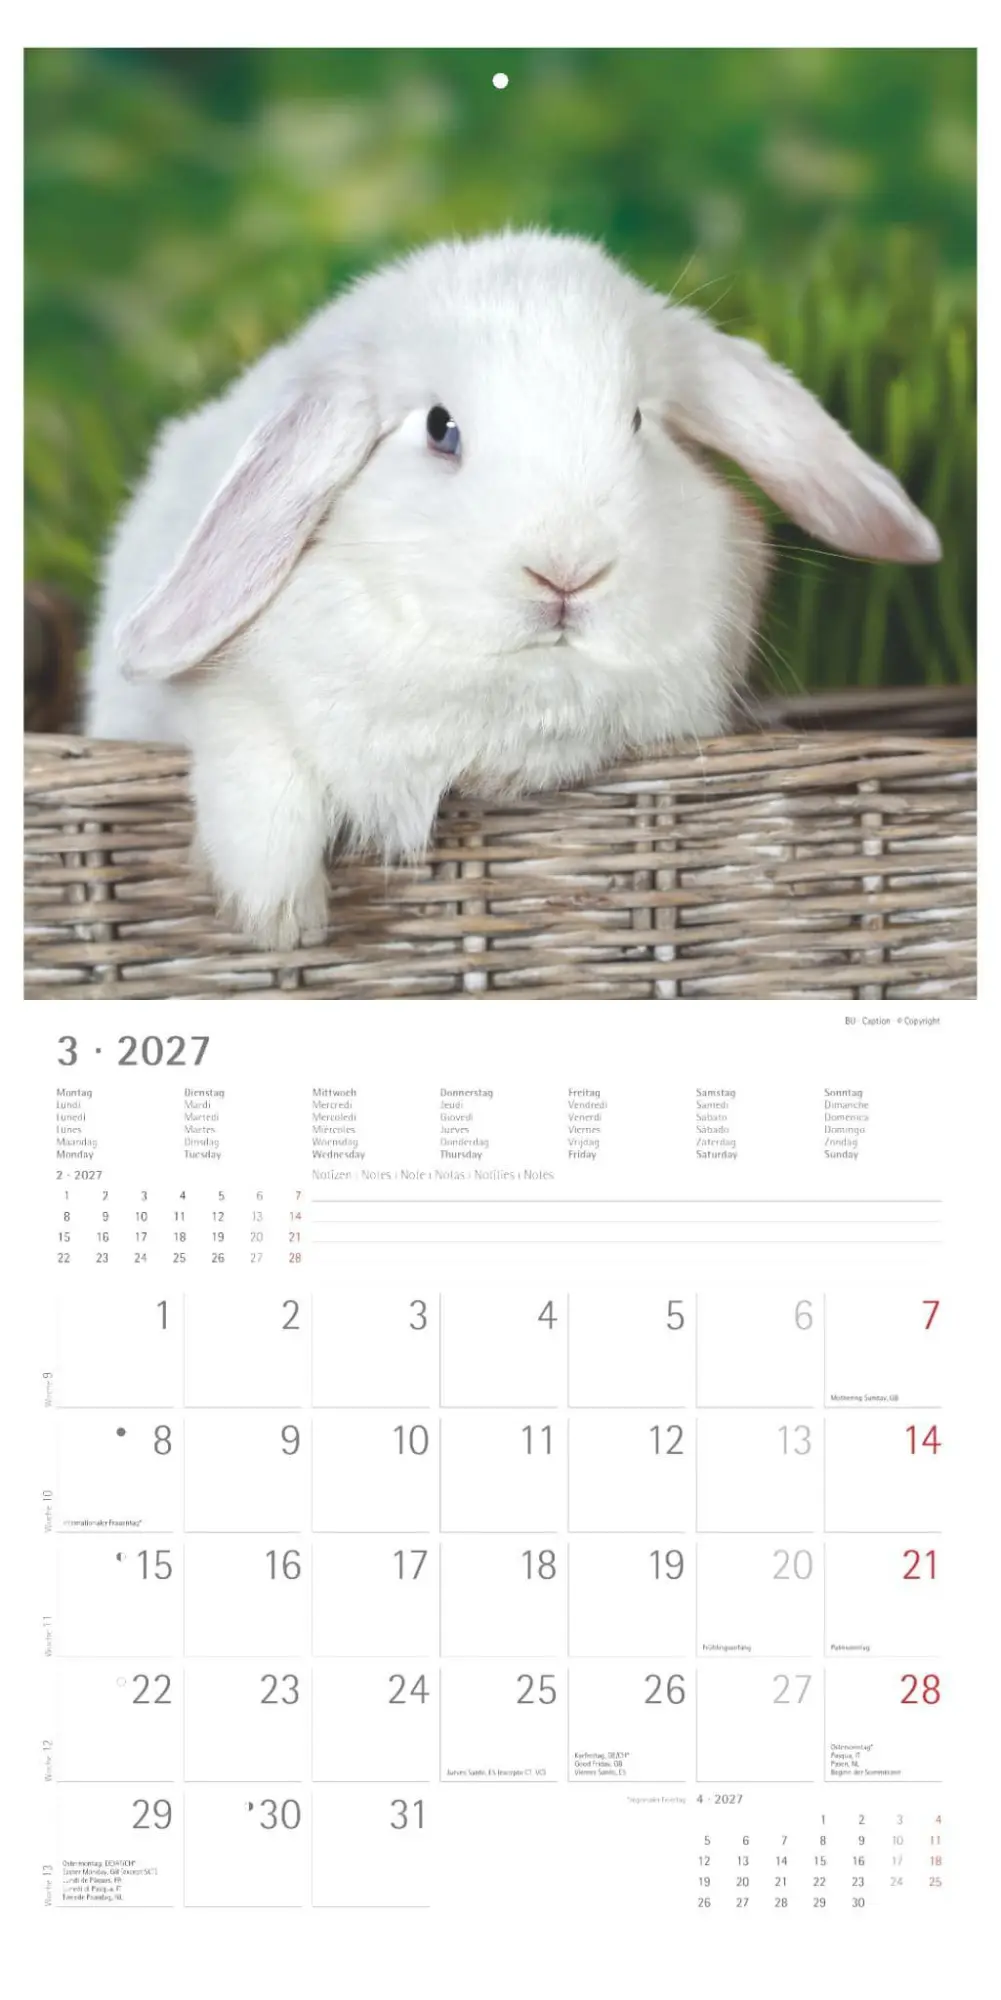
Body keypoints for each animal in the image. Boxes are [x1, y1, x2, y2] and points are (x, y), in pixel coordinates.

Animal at [86, 228, 940, 947]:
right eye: (440, 428)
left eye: (639, 423)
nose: (567, 570)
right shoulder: (205, 708)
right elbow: (247, 751)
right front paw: (280, 919)